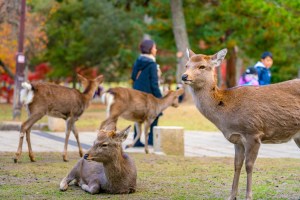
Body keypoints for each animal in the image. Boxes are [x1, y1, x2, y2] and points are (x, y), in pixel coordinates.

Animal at [180, 48, 300, 200]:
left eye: (202, 66)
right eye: (186, 65)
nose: (184, 76)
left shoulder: (254, 133)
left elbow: (249, 165)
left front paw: (249, 196)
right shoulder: (237, 139)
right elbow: (237, 165)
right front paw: (232, 196)